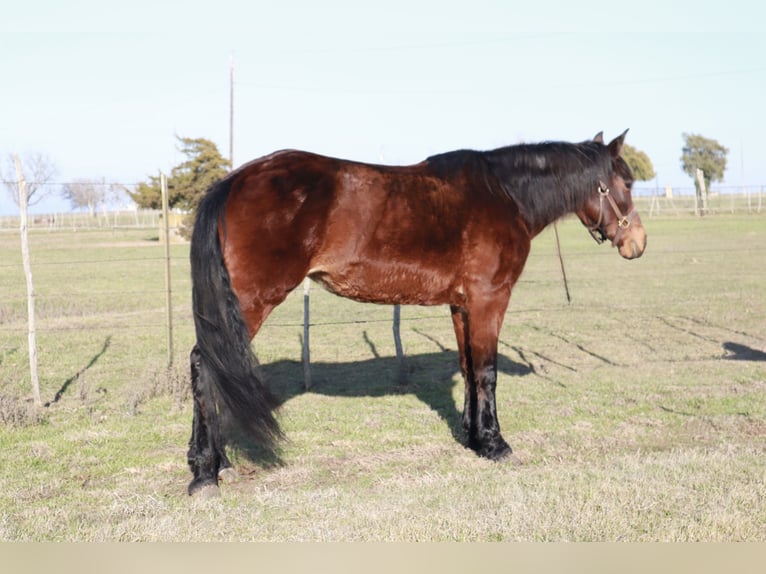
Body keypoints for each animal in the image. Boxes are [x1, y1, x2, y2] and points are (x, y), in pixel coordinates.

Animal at [186, 130, 648, 496]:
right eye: (625, 182)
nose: (638, 244)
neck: (503, 195)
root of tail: (233, 181)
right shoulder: (489, 299)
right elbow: (487, 371)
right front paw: (496, 445)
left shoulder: (461, 305)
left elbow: (468, 367)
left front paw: (472, 437)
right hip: (249, 303)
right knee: (206, 366)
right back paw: (206, 475)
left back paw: (215, 465)